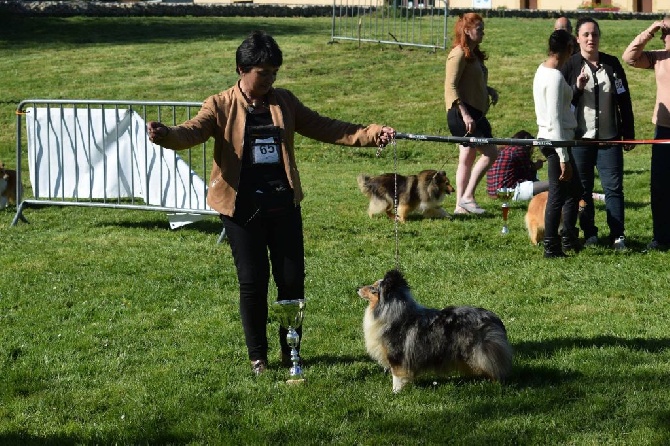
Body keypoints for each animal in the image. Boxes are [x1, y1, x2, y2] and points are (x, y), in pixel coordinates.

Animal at [360, 270, 512, 392]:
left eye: (373, 288)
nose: (358, 288)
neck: (392, 312)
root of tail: (495, 319)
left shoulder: (397, 356)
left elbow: (397, 376)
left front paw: (396, 392)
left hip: (481, 352)